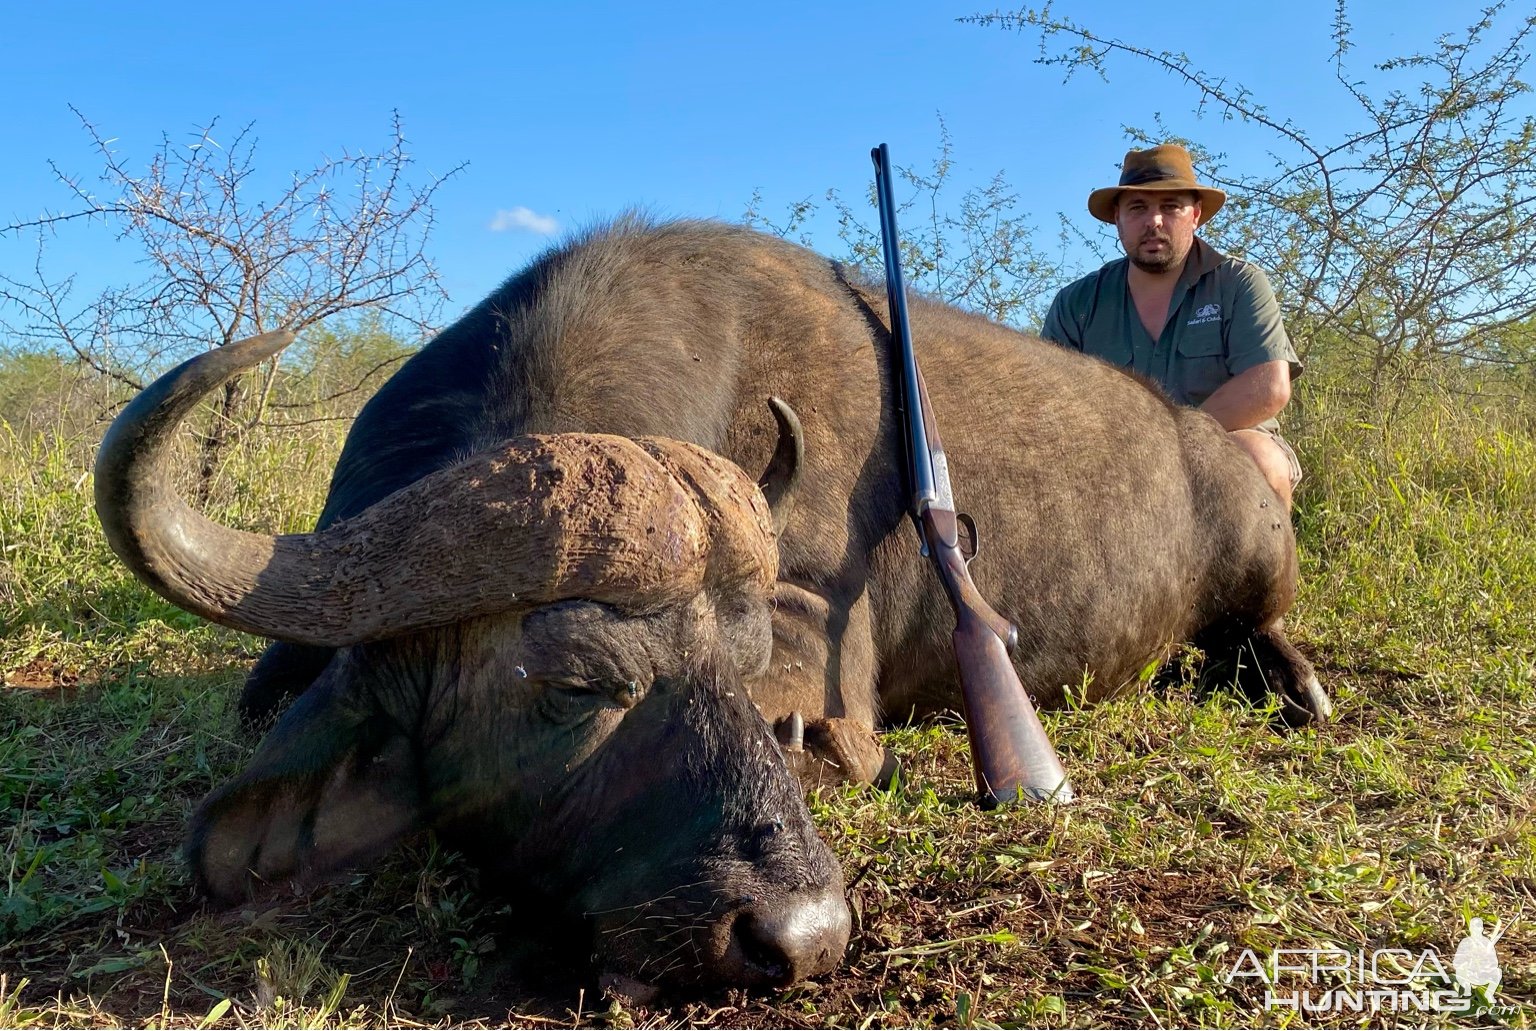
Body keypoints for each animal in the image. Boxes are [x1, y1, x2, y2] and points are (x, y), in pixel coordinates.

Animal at [96, 215, 1327, 989]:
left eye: (734, 677)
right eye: (576, 684)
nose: (802, 936)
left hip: (1263, 554)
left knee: (1260, 629)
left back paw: (1295, 687)